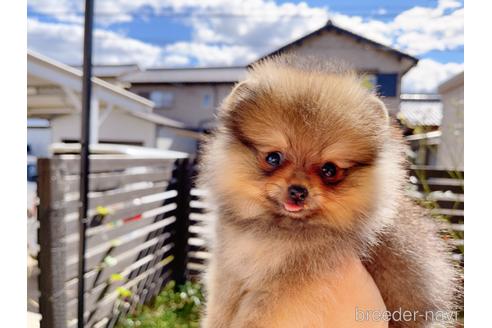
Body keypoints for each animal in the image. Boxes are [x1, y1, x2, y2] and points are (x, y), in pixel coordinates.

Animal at [198, 55, 460, 326]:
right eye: (273, 158)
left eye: (329, 170)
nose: (298, 191)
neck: (274, 230)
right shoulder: (229, 271)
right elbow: (221, 308)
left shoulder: (286, 284)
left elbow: (254, 316)